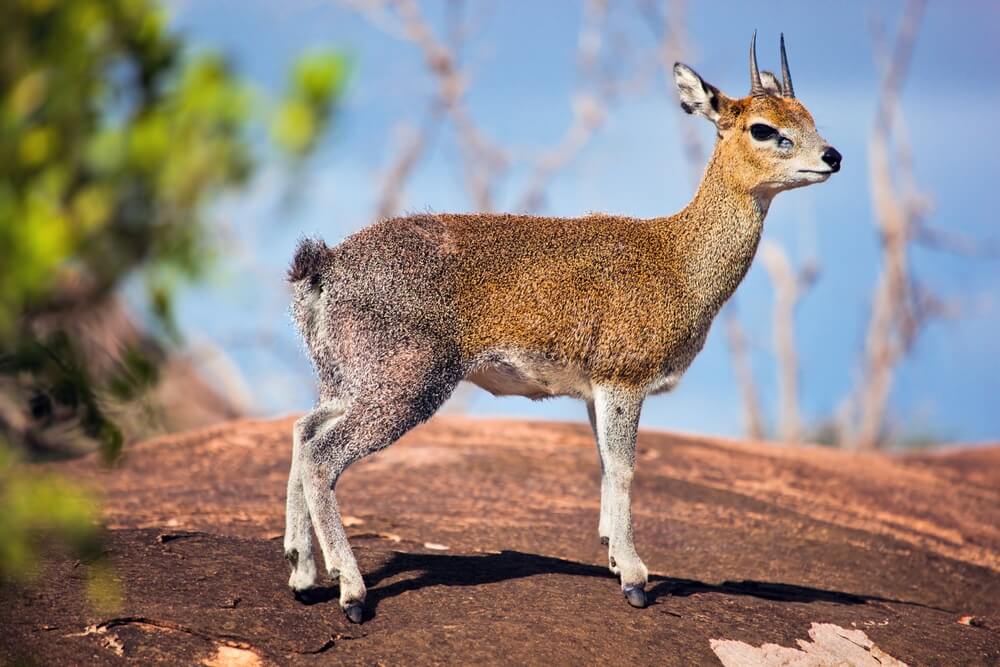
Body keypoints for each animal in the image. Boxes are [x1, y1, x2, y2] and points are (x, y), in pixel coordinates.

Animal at [283, 33, 841, 624]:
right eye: (763, 127)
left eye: (809, 115)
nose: (832, 156)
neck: (678, 261)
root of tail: (326, 264)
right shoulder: (624, 380)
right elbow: (624, 467)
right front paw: (635, 578)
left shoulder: (595, 392)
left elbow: (603, 464)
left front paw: (615, 558)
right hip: (405, 387)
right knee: (322, 456)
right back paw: (351, 591)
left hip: (349, 382)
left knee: (302, 430)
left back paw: (302, 573)